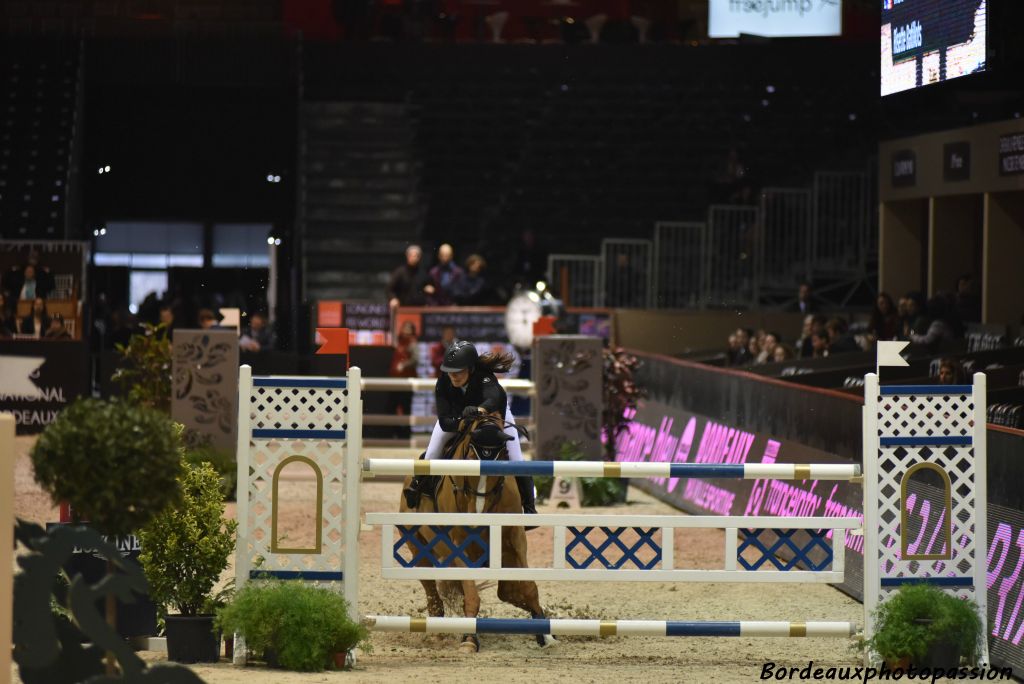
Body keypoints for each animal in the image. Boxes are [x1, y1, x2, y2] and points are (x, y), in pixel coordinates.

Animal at [395, 411, 552, 651]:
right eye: (470, 457)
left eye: (500, 459)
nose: (476, 514)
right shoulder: (458, 544)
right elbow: (471, 594)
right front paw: (469, 639)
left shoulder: (515, 540)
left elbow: (527, 589)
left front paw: (545, 634)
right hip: (419, 548)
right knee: (432, 592)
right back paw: (437, 631)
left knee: (505, 592)